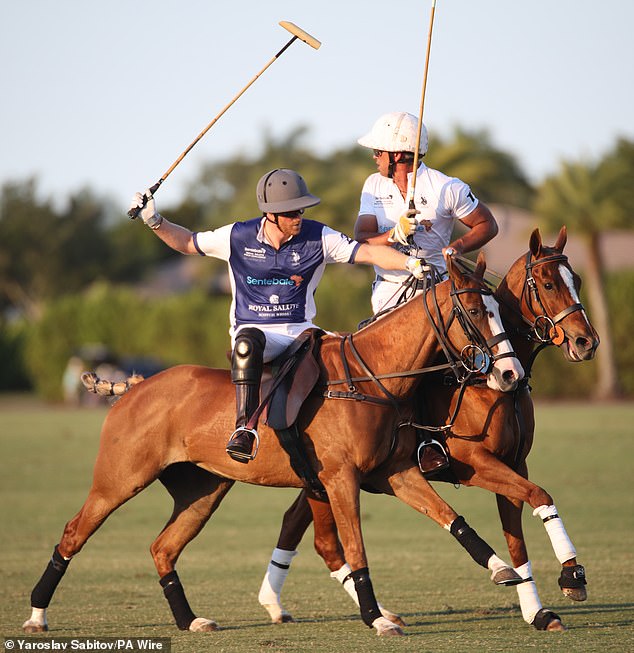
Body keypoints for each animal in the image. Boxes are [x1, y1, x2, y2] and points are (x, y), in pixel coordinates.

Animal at [22, 252, 520, 636]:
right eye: (476, 312)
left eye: (498, 308)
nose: (508, 373)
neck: (371, 377)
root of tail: (136, 386)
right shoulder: (341, 479)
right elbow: (356, 547)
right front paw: (377, 619)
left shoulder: (396, 473)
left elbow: (452, 518)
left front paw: (503, 569)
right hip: (119, 479)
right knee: (73, 533)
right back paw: (37, 615)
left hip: (203, 490)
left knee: (163, 546)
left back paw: (190, 620)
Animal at [253, 225, 596, 632]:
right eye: (547, 284)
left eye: (576, 280)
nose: (587, 342)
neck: (491, 385)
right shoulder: (474, 462)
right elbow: (540, 495)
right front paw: (572, 575)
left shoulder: (515, 463)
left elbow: (519, 535)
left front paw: (539, 610)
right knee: (308, 530)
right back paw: (279, 604)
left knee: (299, 524)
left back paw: (278, 602)